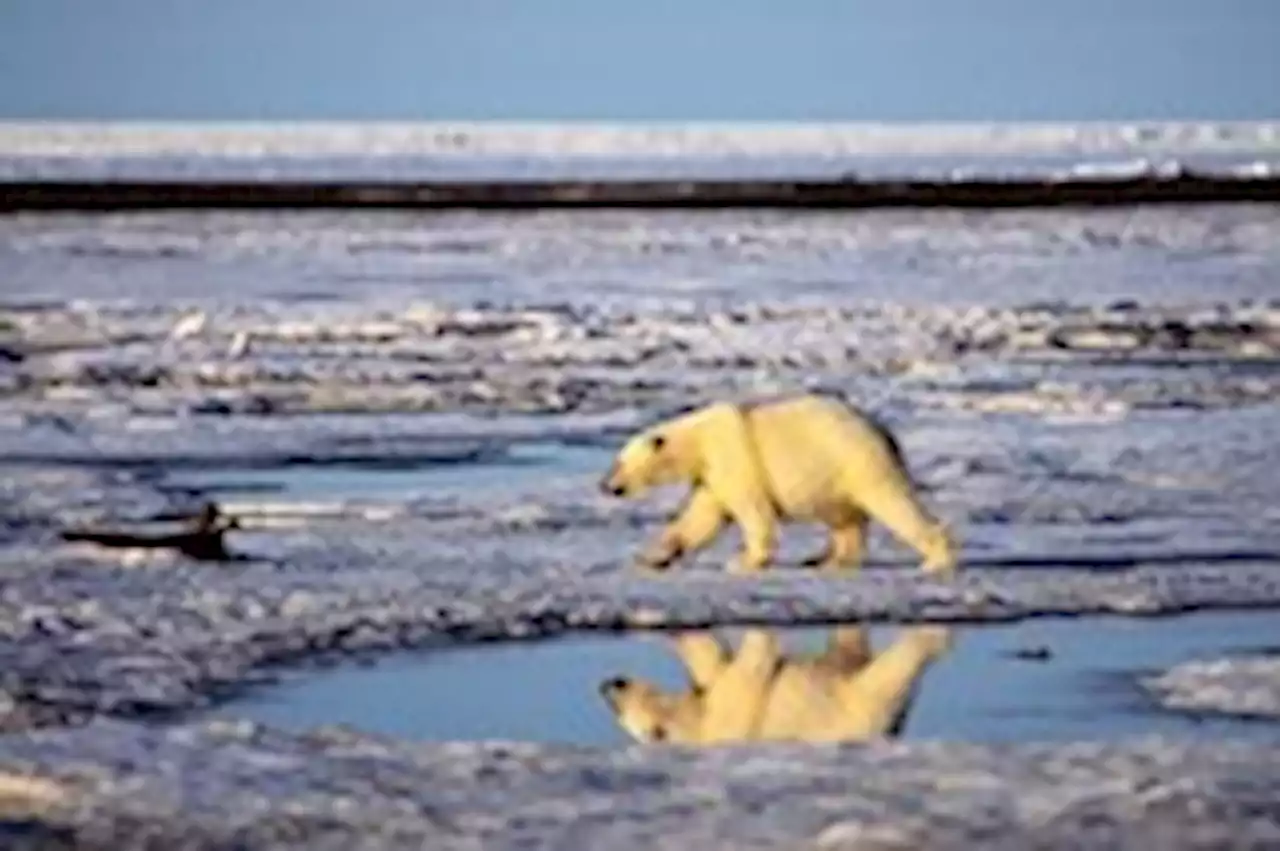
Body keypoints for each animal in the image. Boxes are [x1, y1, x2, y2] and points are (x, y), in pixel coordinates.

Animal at [596, 394, 952, 573]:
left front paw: (743, 562)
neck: (698, 441)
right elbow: (700, 518)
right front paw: (653, 557)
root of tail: (882, 430)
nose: (606, 485)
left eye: (619, 463)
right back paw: (827, 560)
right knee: (843, 517)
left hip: (856, 459)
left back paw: (935, 559)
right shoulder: (711, 475)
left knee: (892, 502)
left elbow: (751, 511)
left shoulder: (734, 459)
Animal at [599, 624, 952, 742]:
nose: (608, 686)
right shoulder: (729, 713)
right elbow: (735, 667)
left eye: (621, 712)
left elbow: (720, 663)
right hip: (855, 705)